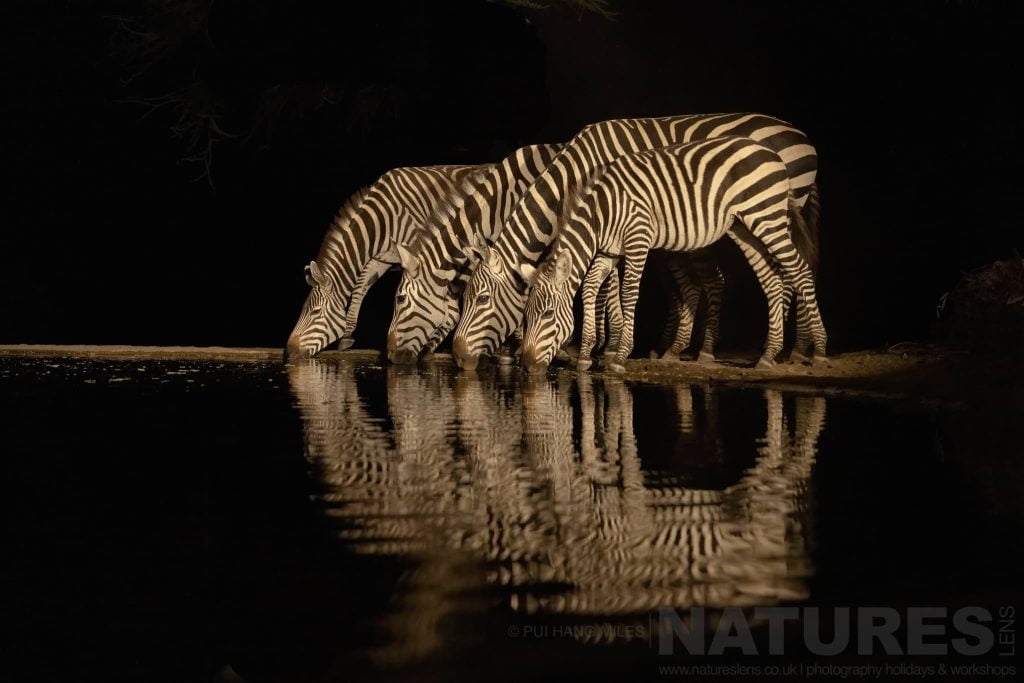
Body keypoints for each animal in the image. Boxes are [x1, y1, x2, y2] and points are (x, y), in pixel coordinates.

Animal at [285, 163, 490, 357]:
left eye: (315, 312)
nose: (289, 351)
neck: (382, 220)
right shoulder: (382, 258)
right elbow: (360, 287)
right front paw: (347, 336)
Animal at [450, 113, 820, 370]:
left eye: (481, 299)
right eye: (463, 299)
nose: (458, 358)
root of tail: (801, 136)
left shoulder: (624, 227)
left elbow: (614, 293)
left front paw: (609, 349)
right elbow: (597, 287)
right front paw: (596, 349)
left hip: (775, 213)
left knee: (794, 273)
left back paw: (801, 350)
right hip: (747, 223)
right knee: (774, 276)